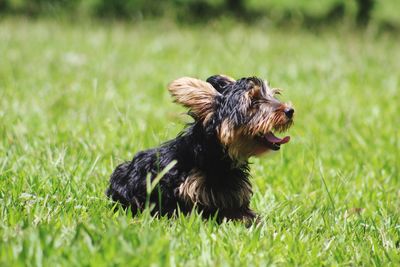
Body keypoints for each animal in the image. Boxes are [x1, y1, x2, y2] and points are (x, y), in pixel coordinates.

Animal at [106, 75, 294, 224]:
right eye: (253, 101)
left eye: (272, 96)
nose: (290, 110)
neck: (217, 160)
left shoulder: (235, 200)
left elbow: (248, 217)